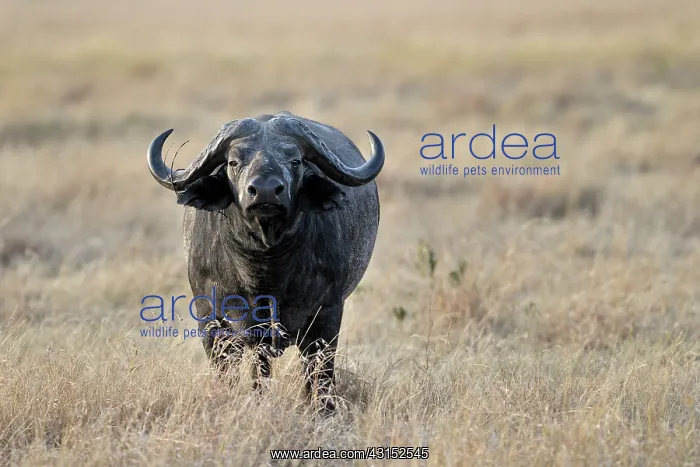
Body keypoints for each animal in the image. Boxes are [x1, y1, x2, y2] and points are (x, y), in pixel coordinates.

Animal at [146, 111, 384, 412]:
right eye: (233, 161)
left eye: (295, 160)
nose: (266, 191)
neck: (265, 271)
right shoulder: (211, 319)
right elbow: (240, 372)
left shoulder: (327, 316)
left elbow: (320, 375)